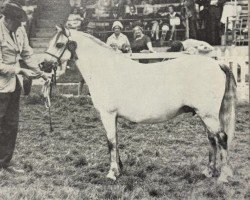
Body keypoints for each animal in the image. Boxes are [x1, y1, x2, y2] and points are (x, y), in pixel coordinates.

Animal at [44, 26, 236, 183]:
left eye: (59, 44)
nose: (42, 64)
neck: (106, 69)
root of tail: (217, 63)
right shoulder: (113, 116)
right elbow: (116, 141)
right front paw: (119, 170)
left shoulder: (107, 114)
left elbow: (111, 142)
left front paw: (112, 173)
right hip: (205, 115)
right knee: (211, 139)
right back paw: (208, 172)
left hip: (208, 115)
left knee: (221, 138)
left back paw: (223, 176)